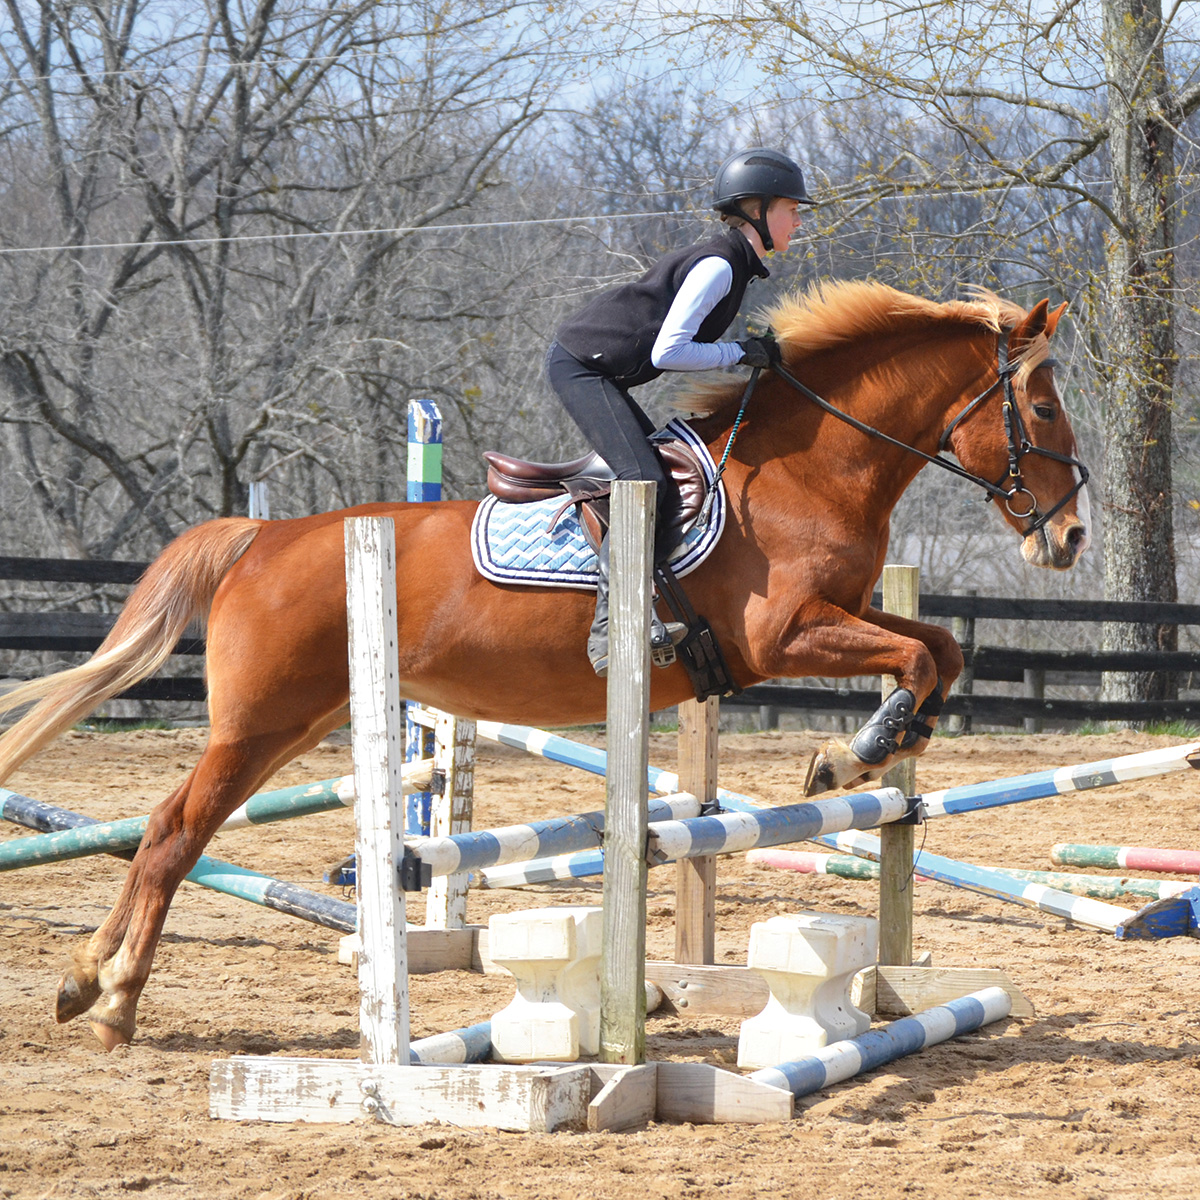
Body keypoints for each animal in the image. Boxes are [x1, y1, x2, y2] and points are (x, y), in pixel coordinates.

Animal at [0, 283, 1089, 1051]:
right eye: (1041, 405)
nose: (1071, 536)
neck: (806, 470)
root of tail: (261, 537)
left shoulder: (839, 613)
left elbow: (939, 647)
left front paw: (875, 748)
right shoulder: (783, 635)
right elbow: (913, 652)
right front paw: (850, 754)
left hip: (293, 721)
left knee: (166, 829)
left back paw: (90, 986)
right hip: (258, 723)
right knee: (173, 834)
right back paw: (109, 1001)